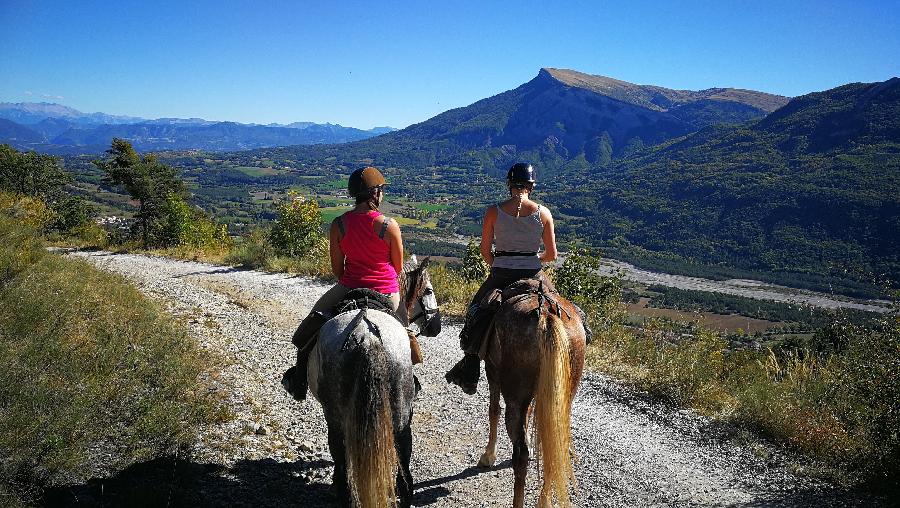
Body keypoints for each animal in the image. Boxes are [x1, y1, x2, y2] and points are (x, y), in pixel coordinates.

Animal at [306, 258, 440, 508]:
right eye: (428, 290)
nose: (437, 326)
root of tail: (365, 334)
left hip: (337, 418)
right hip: (400, 414)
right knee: (403, 464)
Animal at [474, 278, 588, 508]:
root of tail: (545, 313)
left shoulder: (492, 371)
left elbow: (493, 411)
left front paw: (488, 456)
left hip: (514, 398)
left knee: (521, 455)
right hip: (563, 397)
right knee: (552, 446)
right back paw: (544, 500)